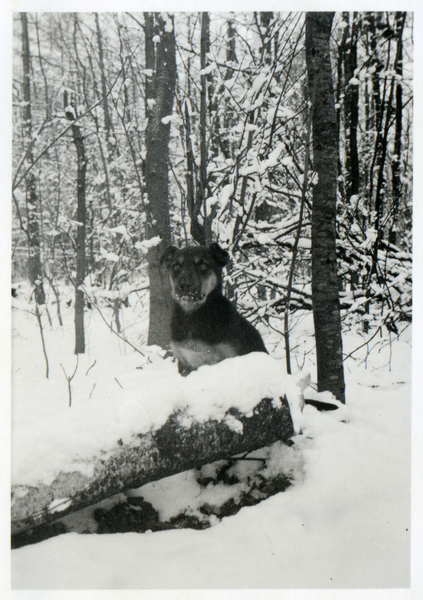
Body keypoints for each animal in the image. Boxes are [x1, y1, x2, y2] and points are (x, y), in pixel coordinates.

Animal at [161, 243, 266, 376]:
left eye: (203, 265)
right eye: (176, 266)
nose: (184, 284)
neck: (192, 314)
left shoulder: (228, 355)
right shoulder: (184, 361)